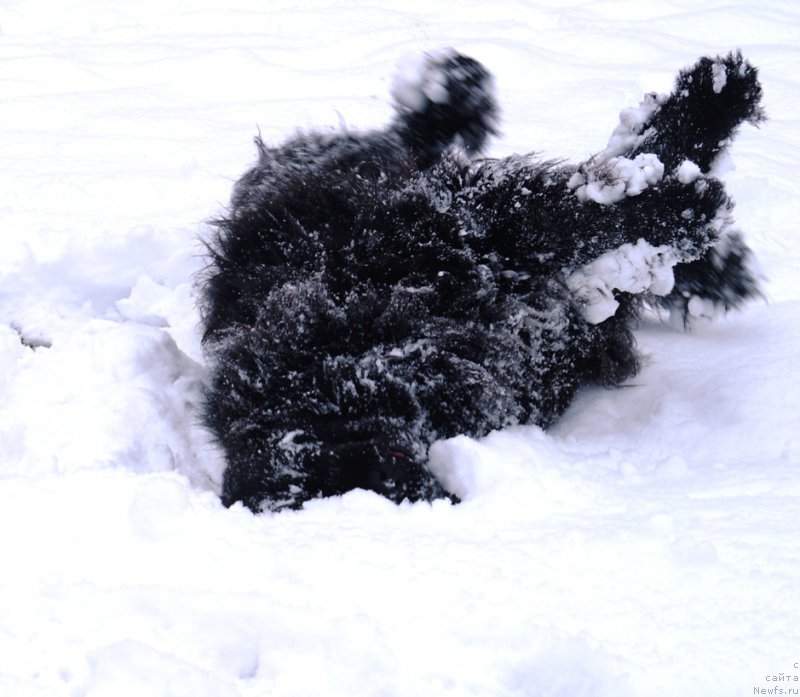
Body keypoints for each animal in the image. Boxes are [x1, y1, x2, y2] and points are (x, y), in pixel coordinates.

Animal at [200, 49, 764, 512]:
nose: (423, 483)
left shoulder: (458, 223)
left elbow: (580, 211)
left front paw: (710, 107)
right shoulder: (548, 333)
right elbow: (606, 238)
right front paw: (686, 207)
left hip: (381, 168)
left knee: (415, 135)